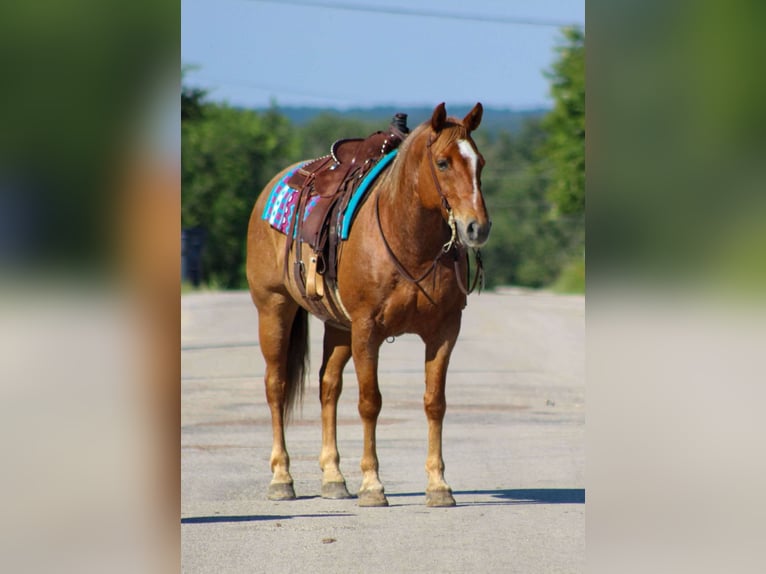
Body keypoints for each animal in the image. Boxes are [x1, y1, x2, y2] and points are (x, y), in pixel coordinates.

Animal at [246, 102, 490, 507]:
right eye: (442, 163)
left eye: (480, 163)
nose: (477, 228)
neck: (409, 242)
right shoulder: (367, 330)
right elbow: (369, 402)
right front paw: (372, 484)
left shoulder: (444, 332)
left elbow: (434, 402)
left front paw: (438, 484)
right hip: (274, 308)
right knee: (276, 385)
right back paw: (282, 477)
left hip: (338, 327)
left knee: (328, 386)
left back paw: (333, 477)